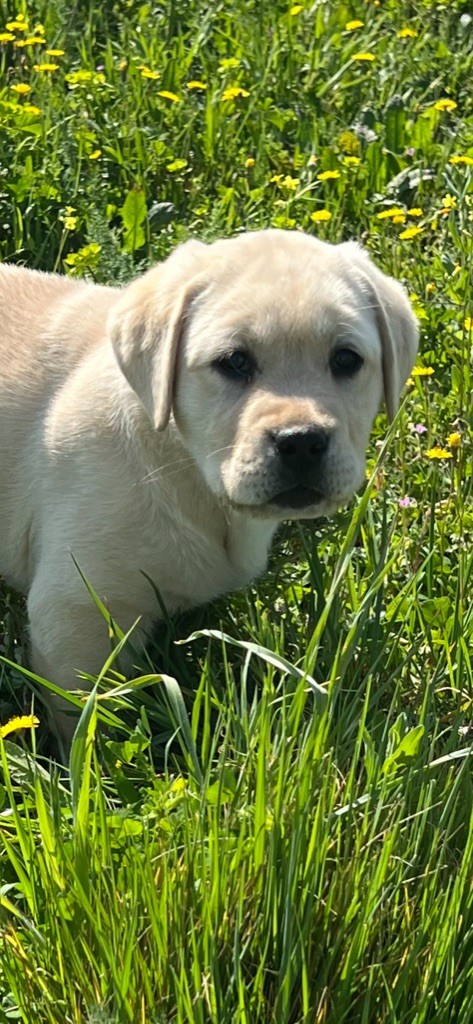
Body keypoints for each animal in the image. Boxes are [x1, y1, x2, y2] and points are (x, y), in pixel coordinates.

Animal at [0, 230, 417, 737]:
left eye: (346, 359)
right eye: (234, 361)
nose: (301, 441)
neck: (187, 471)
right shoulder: (74, 615)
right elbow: (88, 721)